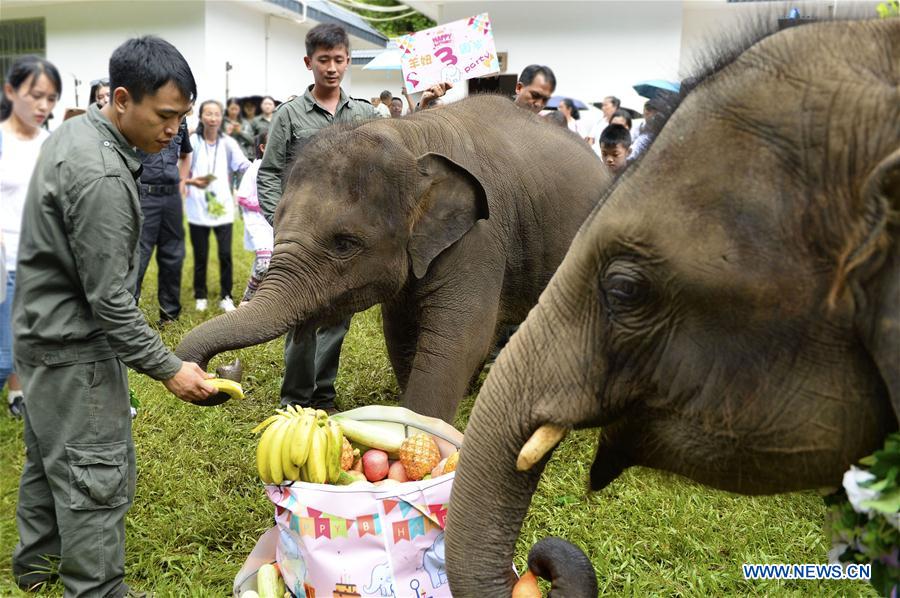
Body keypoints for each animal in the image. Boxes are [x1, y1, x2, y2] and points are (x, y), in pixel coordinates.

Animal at [175, 95, 608, 422]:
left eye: (344, 243)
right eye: (275, 221)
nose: (224, 371)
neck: (410, 136)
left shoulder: (480, 238)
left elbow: (458, 337)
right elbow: (400, 331)